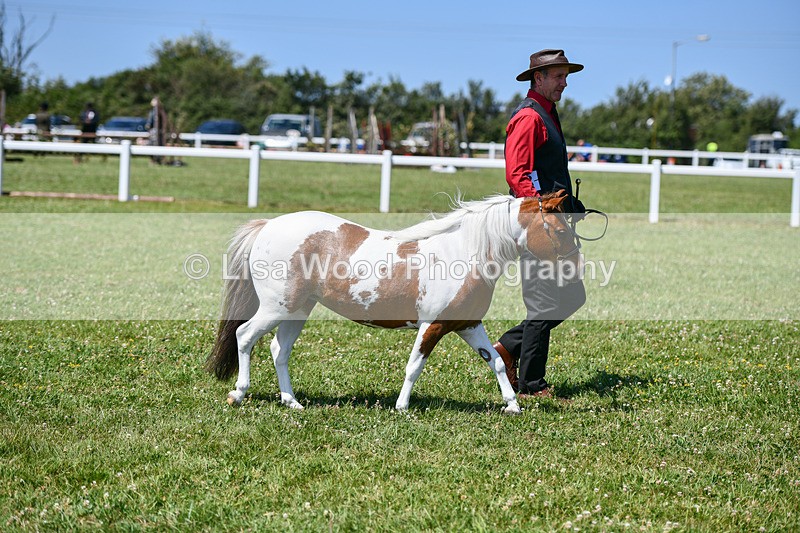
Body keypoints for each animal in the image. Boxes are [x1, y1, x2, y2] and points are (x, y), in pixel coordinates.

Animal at [205, 189, 580, 414]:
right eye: (562, 231)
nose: (574, 269)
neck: (463, 253)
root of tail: (267, 225)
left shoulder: (469, 325)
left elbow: (497, 362)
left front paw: (512, 405)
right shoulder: (433, 325)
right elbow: (414, 366)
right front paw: (401, 406)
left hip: (297, 310)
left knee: (278, 350)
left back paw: (292, 402)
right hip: (275, 308)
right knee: (244, 336)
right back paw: (238, 393)